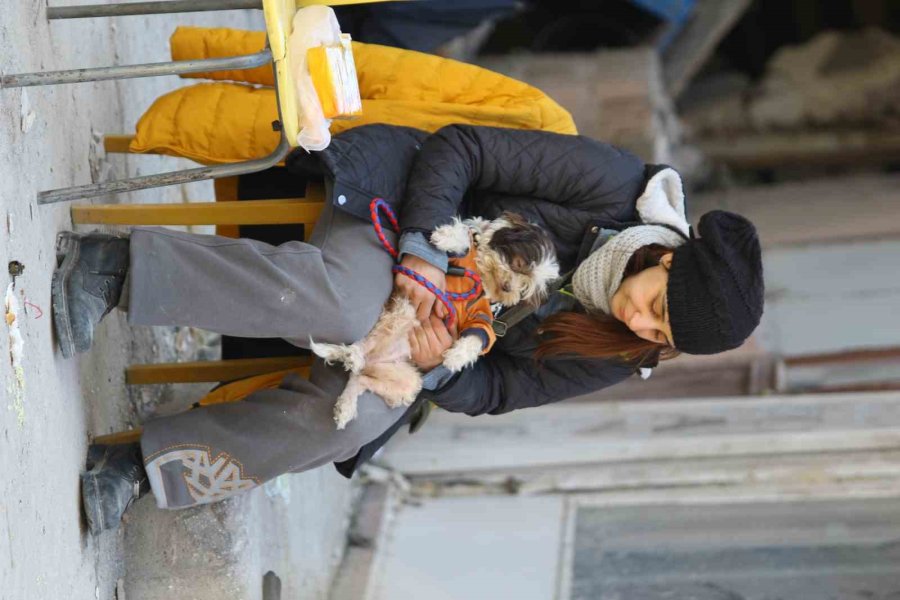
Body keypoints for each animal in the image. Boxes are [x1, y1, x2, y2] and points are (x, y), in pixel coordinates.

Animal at [312, 211, 560, 426]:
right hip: (404, 311)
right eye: (518, 264)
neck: (481, 279)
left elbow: (478, 337)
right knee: (362, 347)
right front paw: (446, 239)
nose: (509, 288)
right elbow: (464, 239)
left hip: (408, 381)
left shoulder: (482, 318)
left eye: (526, 287)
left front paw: (455, 358)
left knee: (359, 378)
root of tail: (374, 360)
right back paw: (350, 355)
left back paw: (346, 405)